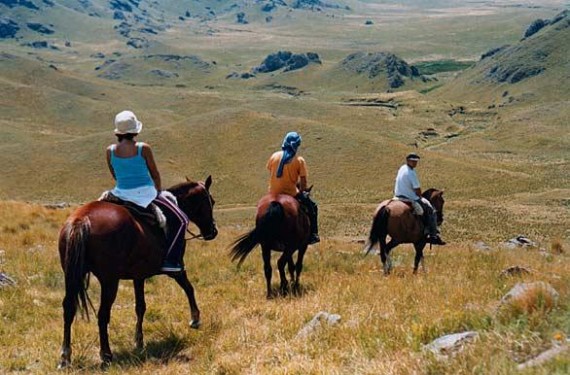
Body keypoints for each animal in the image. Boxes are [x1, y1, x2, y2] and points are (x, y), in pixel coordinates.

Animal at [57, 177, 216, 370]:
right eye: (211, 202)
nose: (212, 232)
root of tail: (82, 220)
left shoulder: (138, 276)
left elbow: (140, 306)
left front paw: (139, 341)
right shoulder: (176, 268)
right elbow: (189, 288)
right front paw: (195, 319)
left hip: (72, 275)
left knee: (69, 308)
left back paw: (65, 357)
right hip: (109, 281)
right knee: (102, 314)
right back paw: (106, 354)